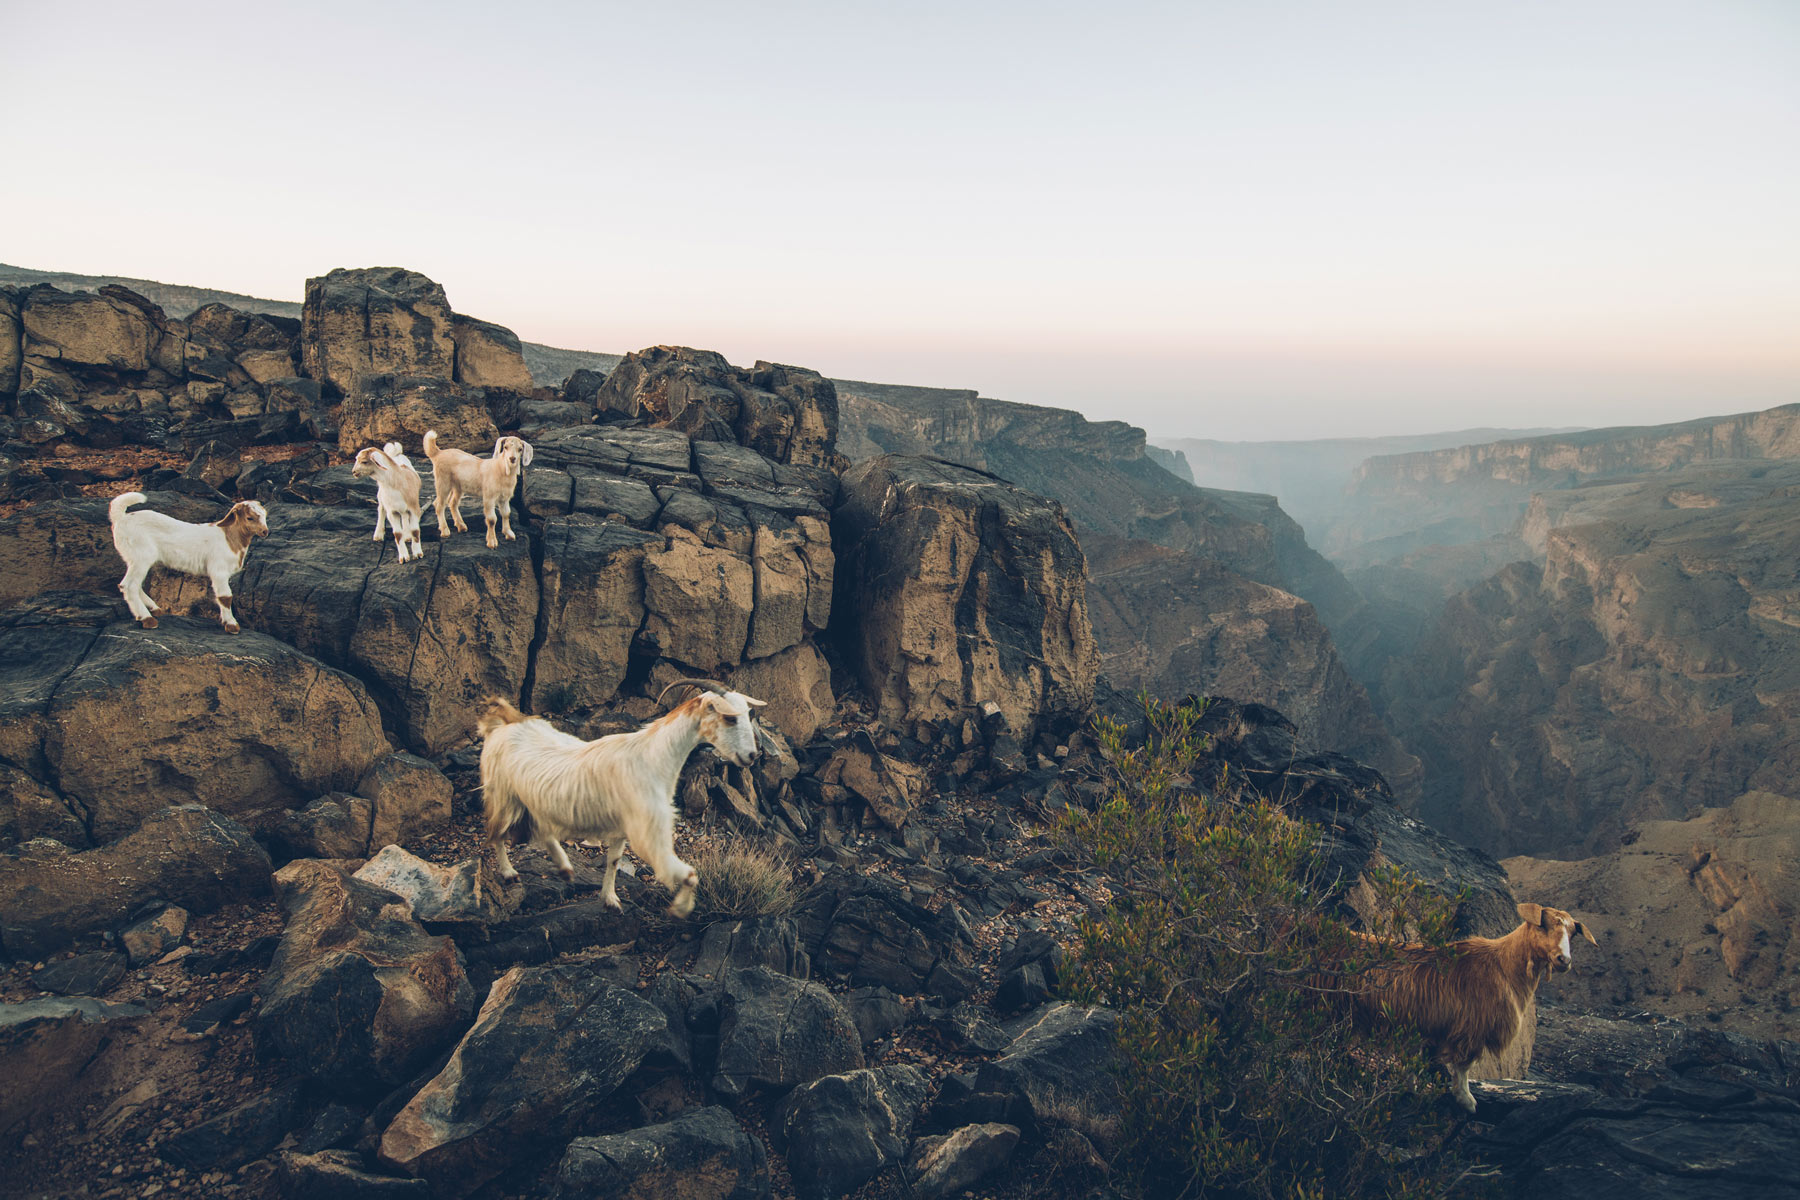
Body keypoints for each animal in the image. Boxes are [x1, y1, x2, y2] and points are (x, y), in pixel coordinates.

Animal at [110, 489, 266, 633]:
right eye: (250, 518)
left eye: (265, 515)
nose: (265, 531)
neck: (228, 537)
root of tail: (120, 518)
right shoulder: (219, 570)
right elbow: (225, 597)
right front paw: (232, 625)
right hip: (141, 556)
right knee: (129, 586)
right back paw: (148, 619)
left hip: (134, 559)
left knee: (136, 585)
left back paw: (154, 609)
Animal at [475, 676, 763, 921]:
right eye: (730, 718)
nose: (752, 756)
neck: (653, 757)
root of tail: (501, 726)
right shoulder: (649, 837)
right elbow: (690, 875)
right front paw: (680, 909)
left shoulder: (621, 830)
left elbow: (613, 861)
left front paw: (610, 900)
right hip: (502, 796)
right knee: (496, 833)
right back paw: (509, 873)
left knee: (542, 830)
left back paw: (565, 868)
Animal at [1346, 906, 1598, 1115]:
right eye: (1542, 925)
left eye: (1572, 933)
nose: (1563, 960)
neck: (1504, 965)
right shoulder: (1471, 1028)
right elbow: (1463, 1067)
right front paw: (1466, 1100)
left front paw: (1412, 1089)